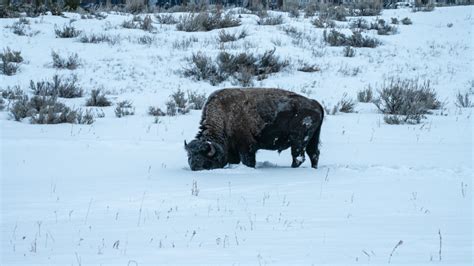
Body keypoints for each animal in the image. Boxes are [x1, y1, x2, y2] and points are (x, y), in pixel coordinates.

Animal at [185, 87, 326, 170]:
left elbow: (248, 161)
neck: (225, 118)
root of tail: (315, 103)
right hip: (312, 138)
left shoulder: (246, 147)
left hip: (299, 140)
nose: (194, 167)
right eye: (190, 156)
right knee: (313, 154)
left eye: (206, 159)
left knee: (298, 157)